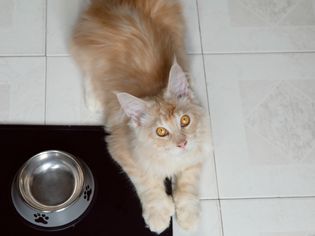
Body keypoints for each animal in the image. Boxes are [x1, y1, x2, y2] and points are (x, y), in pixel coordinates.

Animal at [71, 0, 212, 232]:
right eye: (161, 131)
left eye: (185, 120)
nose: (182, 143)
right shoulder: (120, 146)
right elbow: (147, 181)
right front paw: (158, 214)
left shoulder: (199, 147)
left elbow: (187, 182)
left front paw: (188, 214)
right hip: (90, 49)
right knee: (87, 69)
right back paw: (93, 99)